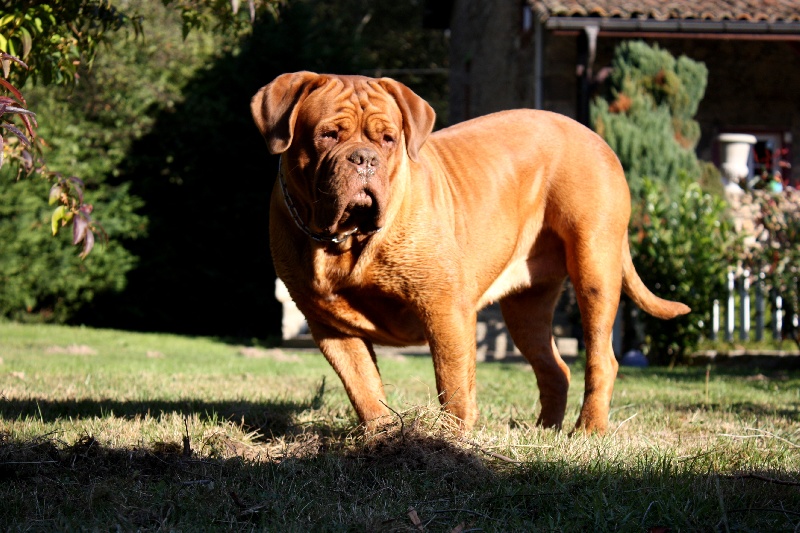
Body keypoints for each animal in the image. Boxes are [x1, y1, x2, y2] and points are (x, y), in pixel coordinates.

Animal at [253, 71, 692, 432]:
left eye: (388, 139)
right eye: (328, 135)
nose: (364, 159)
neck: (344, 242)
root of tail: (595, 136)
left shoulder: (443, 308)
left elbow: (452, 383)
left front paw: (453, 439)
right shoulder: (330, 327)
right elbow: (363, 387)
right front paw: (382, 436)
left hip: (595, 266)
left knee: (601, 357)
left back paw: (589, 429)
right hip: (526, 308)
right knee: (553, 367)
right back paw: (545, 431)